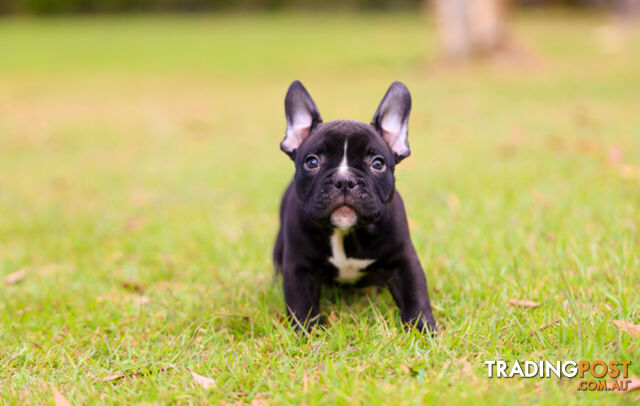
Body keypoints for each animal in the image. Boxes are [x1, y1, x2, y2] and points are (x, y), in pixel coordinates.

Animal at [272, 80, 438, 334]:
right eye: (312, 162)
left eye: (378, 163)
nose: (344, 180)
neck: (346, 233)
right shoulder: (297, 267)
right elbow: (302, 307)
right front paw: (307, 335)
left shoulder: (404, 260)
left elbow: (416, 297)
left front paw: (423, 330)